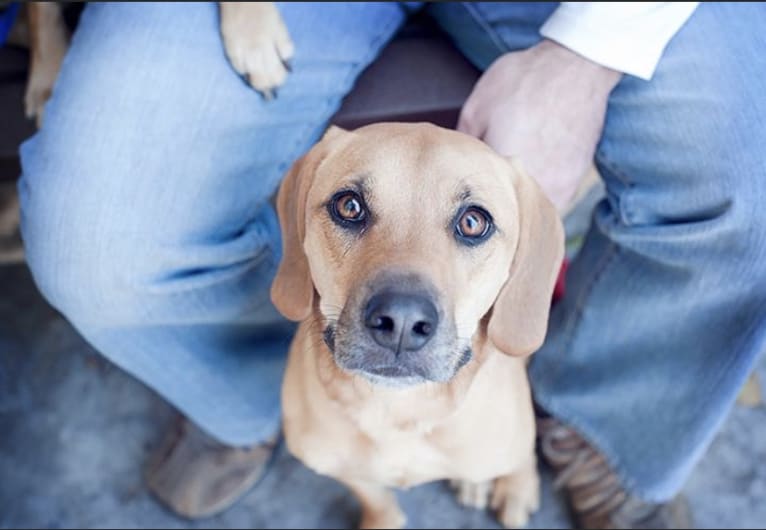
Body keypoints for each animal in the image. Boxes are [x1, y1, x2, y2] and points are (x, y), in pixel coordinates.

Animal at [272, 121, 568, 524]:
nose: (401, 321)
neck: (396, 411)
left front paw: (518, 485)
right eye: (349, 206)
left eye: (473, 222)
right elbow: (376, 500)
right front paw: (383, 521)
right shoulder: (346, 470)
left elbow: (521, 455)